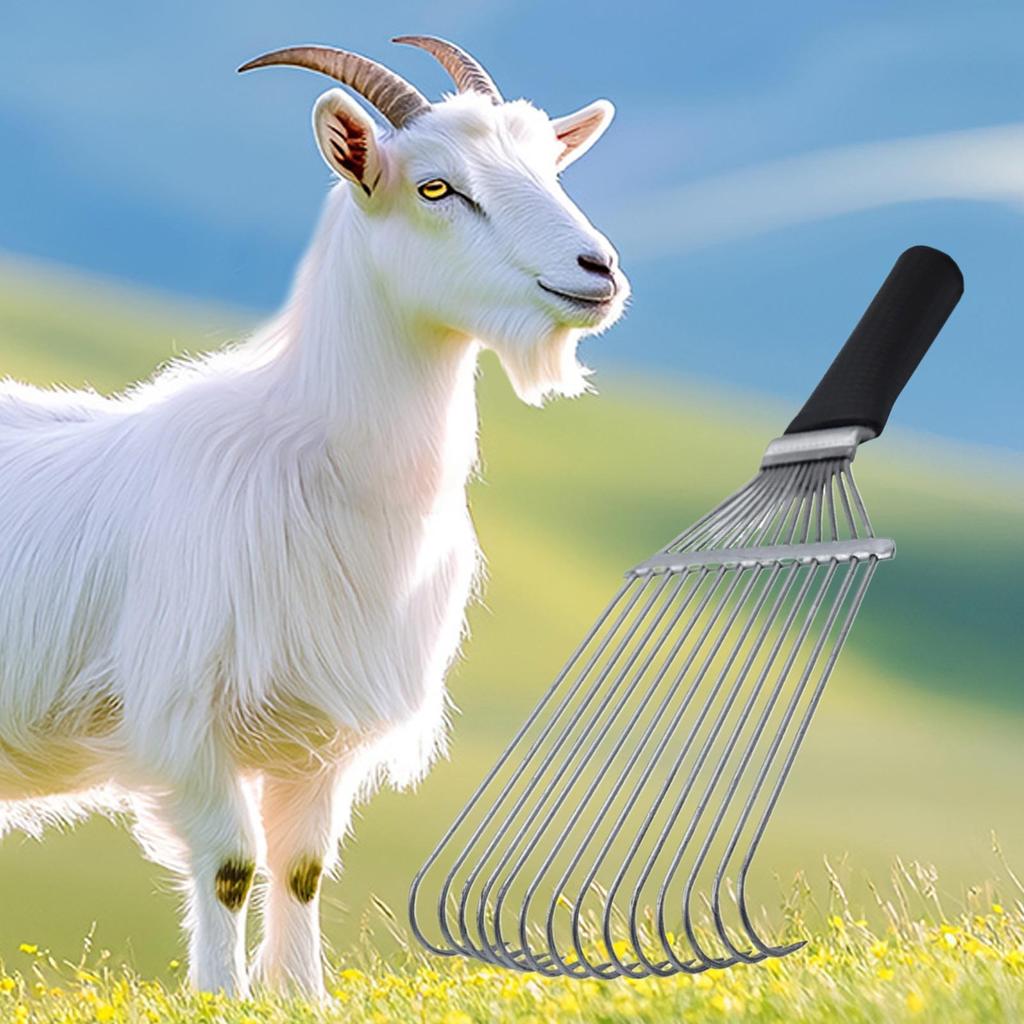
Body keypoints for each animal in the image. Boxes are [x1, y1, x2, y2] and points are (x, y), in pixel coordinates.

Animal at [0, 36, 629, 996]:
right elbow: (229, 868)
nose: (599, 271)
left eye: (548, 167)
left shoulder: (320, 733)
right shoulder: (186, 718)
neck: (314, 458)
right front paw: (220, 996)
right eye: (436, 188)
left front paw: (300, 993)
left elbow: (301, 869)